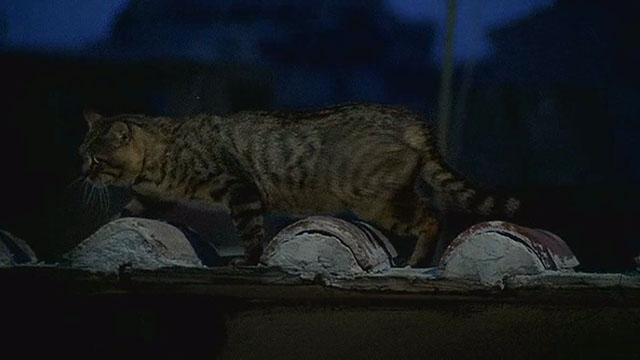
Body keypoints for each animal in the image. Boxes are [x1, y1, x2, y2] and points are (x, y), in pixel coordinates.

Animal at [80, 102, 520, 266]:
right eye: (82, 154)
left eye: (95, 159)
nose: (83, 174)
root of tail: (411, 120)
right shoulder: (152, 199)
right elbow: (126, 213)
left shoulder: (240, 190)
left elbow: (251, 233)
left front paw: (248, 259)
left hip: (378, 201)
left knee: (431, 218)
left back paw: (418, 260)